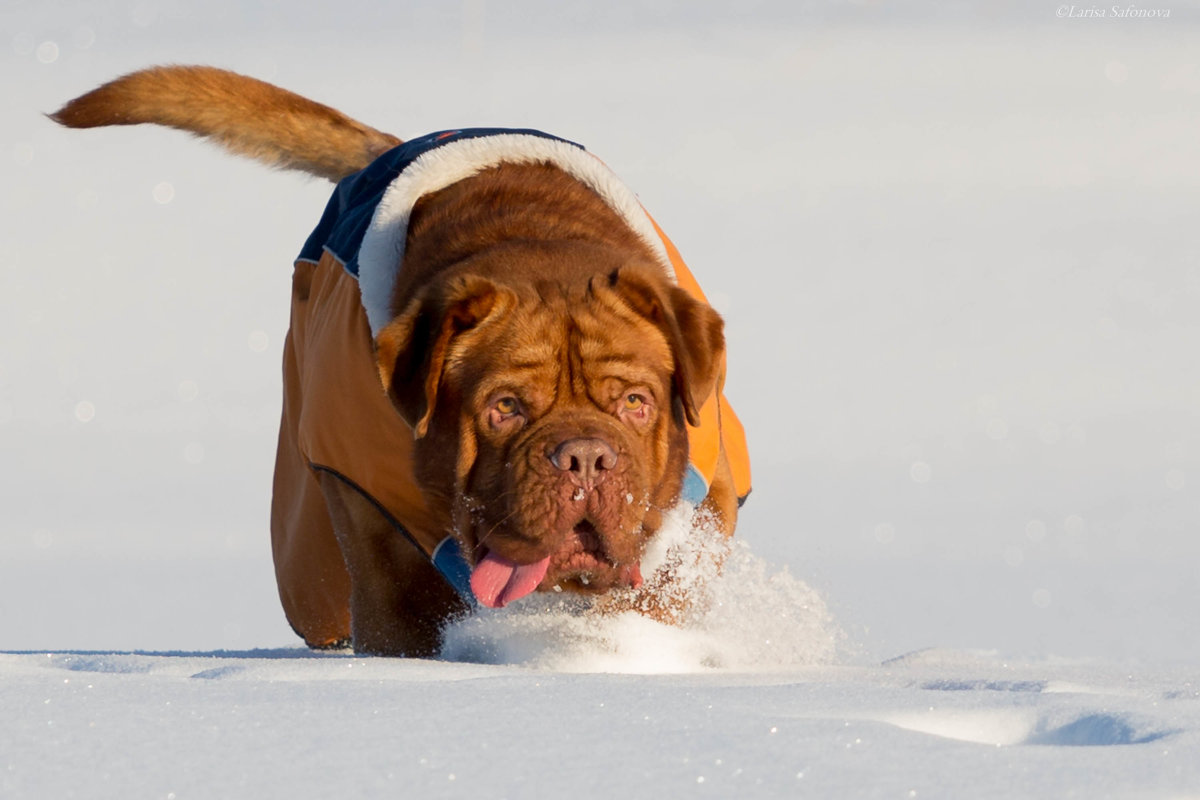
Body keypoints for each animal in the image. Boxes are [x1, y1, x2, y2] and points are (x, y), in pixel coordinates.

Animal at [56, 67, 753, 657]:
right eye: (504, 408)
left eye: (635, 403)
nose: (585, 458)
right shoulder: (372, 530)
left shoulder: (700, 506)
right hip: (307, 556)